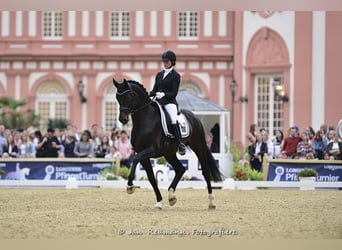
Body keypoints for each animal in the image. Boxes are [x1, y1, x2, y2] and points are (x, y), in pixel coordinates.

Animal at [113, 78, 223, 209]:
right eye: (117, 97)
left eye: (129, 96)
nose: (123, 119)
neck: (145, 120)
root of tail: (194, 116)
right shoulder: (143, 153)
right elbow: (151, 177)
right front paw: (159, 202)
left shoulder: (152, 149)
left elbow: (134, 159)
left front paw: (130, 185)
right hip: (169, 153)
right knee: (180, 169)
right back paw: (171, 196)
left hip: (198, 146)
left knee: (205, 171)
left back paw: (211, 202)